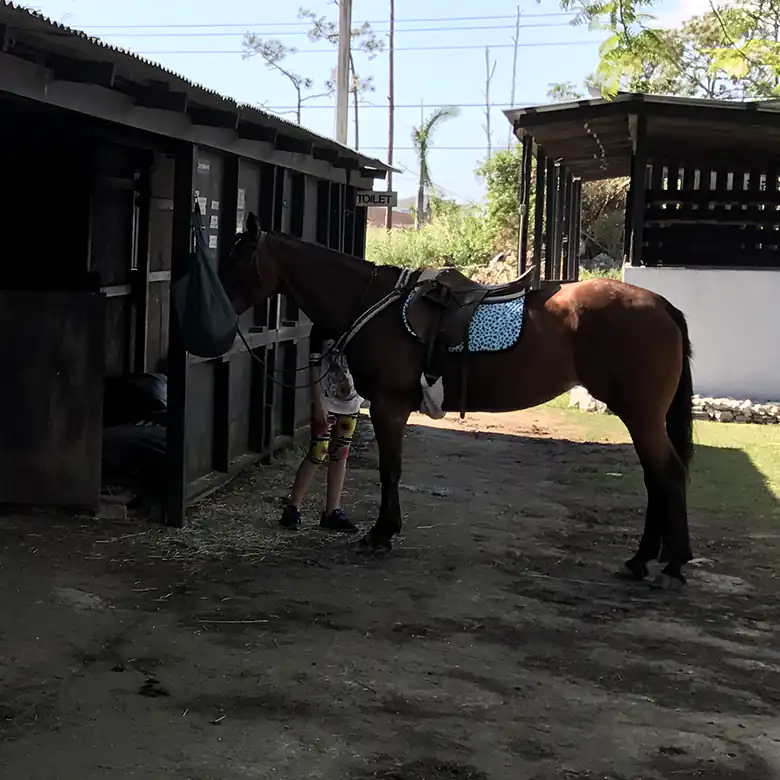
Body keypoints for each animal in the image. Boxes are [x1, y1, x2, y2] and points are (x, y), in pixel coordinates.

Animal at [220, 214, 694, 589]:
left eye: (237, 259)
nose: (219, 310)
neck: (370, 301)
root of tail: (663, 305)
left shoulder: (389, 407)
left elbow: (390, 470)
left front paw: (381, 533)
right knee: (658, 476)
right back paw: (646, 560)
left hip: (641, 415)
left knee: (666, 474)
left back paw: (668, 563)